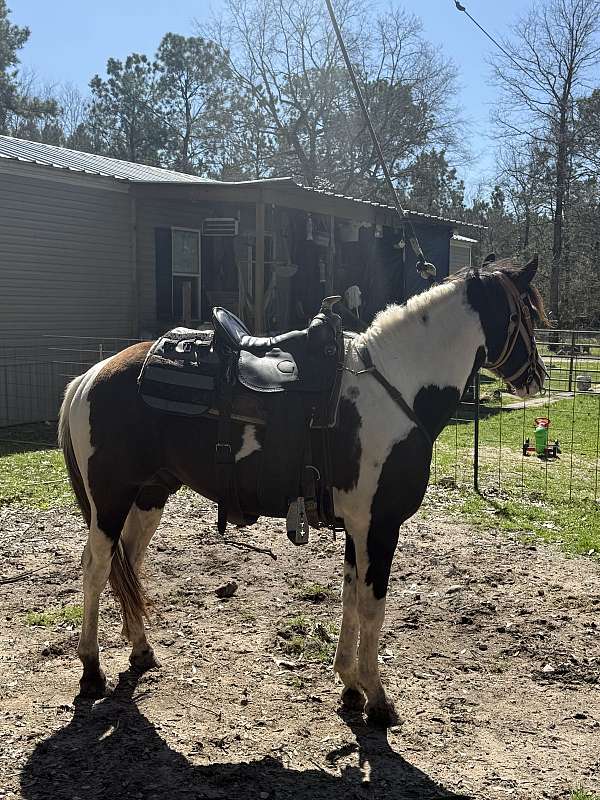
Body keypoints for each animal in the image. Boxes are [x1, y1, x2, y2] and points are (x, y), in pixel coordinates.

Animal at [58, 255, 547, 727]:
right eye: (524, 314)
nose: (537, 378)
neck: (397, 386)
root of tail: (90, 376)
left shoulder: (357, 527)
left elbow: (350, 597)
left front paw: (349, 686)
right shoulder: (380, 526)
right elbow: (372, 606)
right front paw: (377, 698)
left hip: (149, 496)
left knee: (128, 563)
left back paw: (140, 648)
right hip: (110, 499)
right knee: (97, 568)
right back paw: (91, 670)